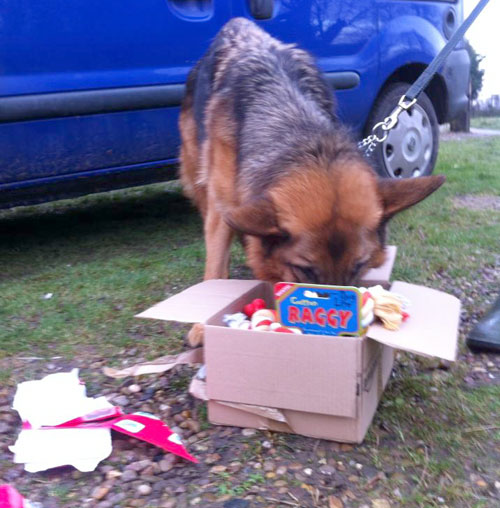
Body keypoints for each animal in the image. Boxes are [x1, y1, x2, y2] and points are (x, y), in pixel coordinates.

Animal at [181, 16, 446, 342]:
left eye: (358, 266)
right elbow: (216, 265)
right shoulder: (223, 211)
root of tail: (238, 23)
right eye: (305, 271)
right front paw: (201, 324)